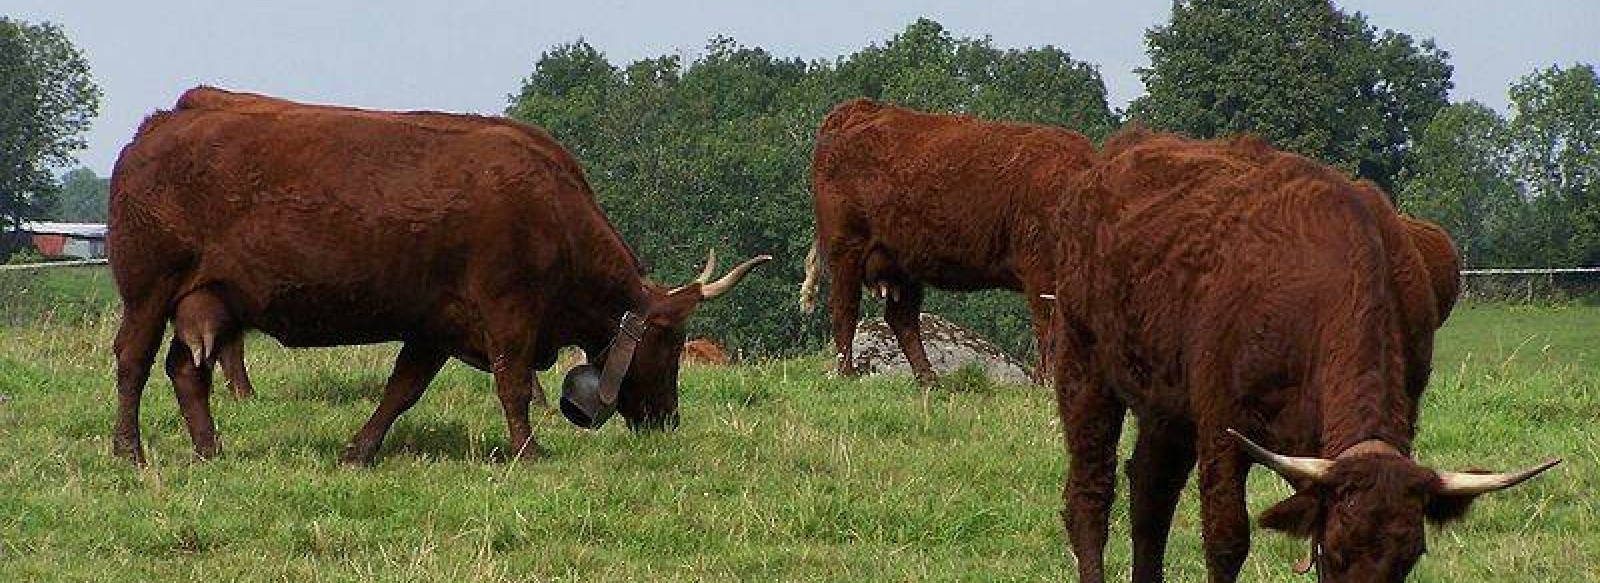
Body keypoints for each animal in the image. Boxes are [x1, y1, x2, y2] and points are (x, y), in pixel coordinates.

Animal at [108, 86, 768, 467]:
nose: (668, 420)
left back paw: (210, 449)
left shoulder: (435, 326)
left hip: (210, 300)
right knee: (134, 362)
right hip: (148, 292)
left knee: (186, 369)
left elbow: (401, 391)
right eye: (671, 342)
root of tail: (159, 126)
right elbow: (513, 384)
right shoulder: (508, 313)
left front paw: (359, 451)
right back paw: (130, 451)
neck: (552, 210)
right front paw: (529, 452)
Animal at [800, 98, 1100, 384]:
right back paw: (846, 371)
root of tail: (860, 108)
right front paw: (1048, 381)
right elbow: (1050, 330)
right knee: (844, 309)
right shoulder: (1043, 274)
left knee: (901, 318)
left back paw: (928, 378)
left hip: (903, 263)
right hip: (846, 250)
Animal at [1049, 128, 1548, 583]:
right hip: (1083, 366)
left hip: (1164, 402)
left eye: (1410, 558)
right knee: (1090, 496)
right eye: (1336, 551)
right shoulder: (1220, 427)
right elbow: (1227, 540)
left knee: (1150, 493)